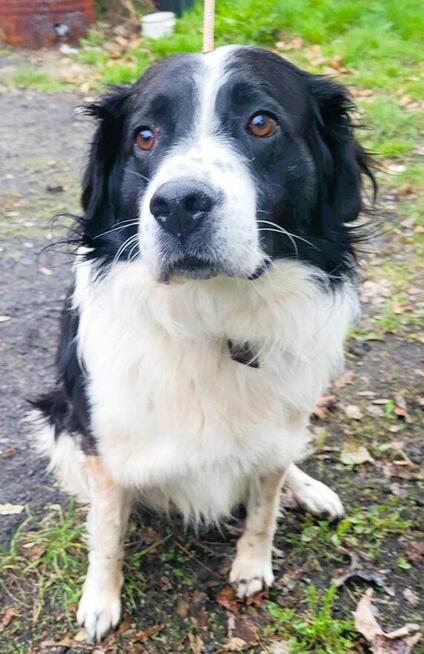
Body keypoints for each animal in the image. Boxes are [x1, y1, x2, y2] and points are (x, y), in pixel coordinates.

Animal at [30, 47, 374, 644]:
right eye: (144, 137)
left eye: (261, 123)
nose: (178, 205)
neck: (212, 317)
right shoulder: (104, 443)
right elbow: (107, 534)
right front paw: (100, 602)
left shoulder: (275, 430)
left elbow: (263, 506)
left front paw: (252, 567)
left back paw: (309, 489)